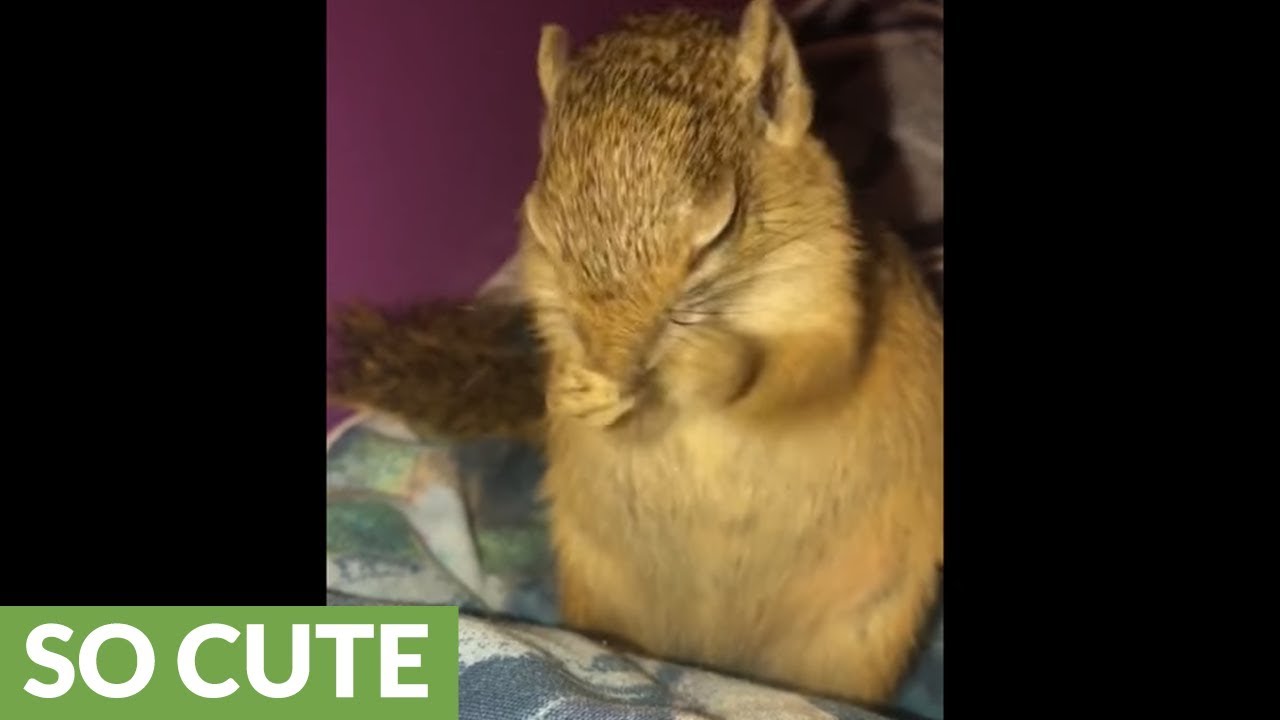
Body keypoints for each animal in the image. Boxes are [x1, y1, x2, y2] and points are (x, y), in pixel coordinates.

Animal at [329, 0, 942, 707]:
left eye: (721, 228)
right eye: (539, 226)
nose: (615, 364)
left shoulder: (836, 303)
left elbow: (804, 371)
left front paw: (710, 362)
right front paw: (573, 391)